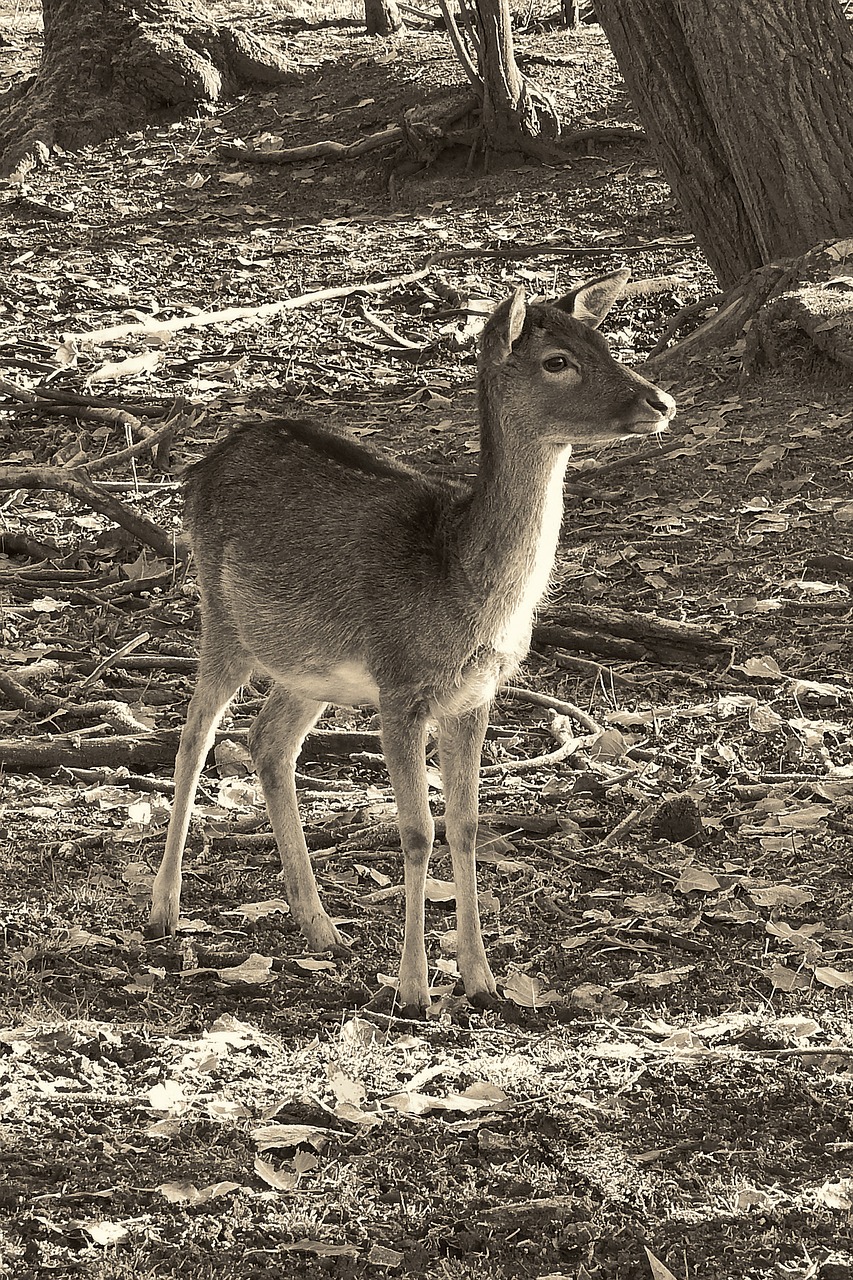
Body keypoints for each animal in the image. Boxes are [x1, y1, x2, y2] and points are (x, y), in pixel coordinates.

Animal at [147, 267, 676, 1008]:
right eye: (557, 361)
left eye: (603, 340)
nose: (661, 401)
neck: (463, 587)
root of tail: (200, 466)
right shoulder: (400, 687)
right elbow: (417, 831)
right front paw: (414, 988)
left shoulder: (476, 695)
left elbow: (467, 824)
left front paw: (482, 982)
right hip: (223, 619)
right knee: (193, 737)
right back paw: (163, 910)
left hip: (307, 664)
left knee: (267, 741)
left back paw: (320, 927)